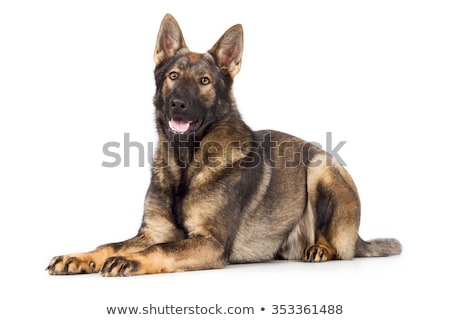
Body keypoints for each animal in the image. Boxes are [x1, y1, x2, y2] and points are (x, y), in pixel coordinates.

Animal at [47, 14, 402, 276]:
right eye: (173, 75)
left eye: (204, 81)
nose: (178, 104)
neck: (186, 162)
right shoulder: (152, 232)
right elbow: (111, 244)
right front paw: (80, 256)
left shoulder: (210, 242)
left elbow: (160, 249)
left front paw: (131, 259)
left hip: (320, 166)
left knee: (340, 247)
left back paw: (321, 248)